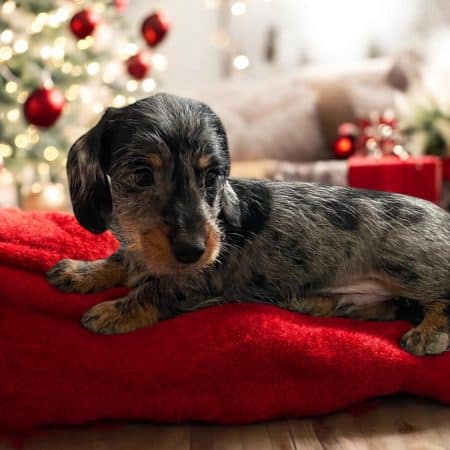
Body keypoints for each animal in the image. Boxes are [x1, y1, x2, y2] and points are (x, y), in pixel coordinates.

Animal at [46, 94, 450, 356]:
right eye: (142, 174)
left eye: (212, 175)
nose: (193, 250)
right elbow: (120, 260)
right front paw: (82, 272)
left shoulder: (200, 279)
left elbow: (156, 289)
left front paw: (116, 310)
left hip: (406, 262)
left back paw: (429, 332)